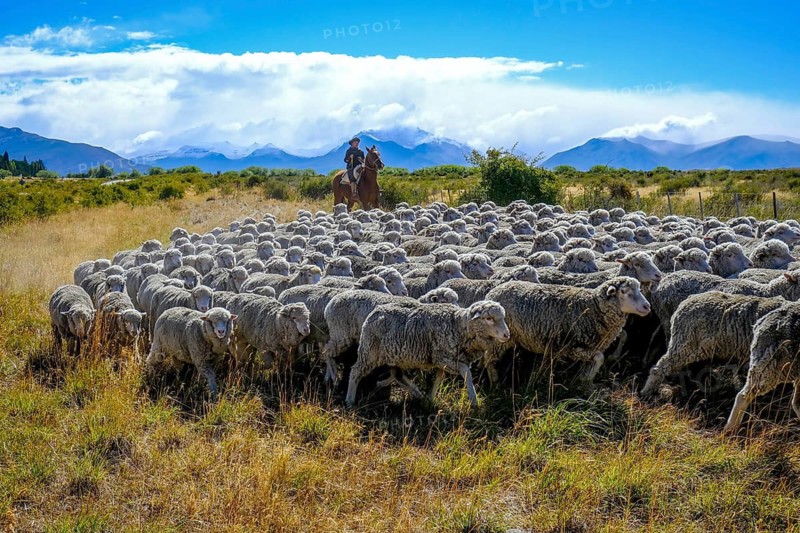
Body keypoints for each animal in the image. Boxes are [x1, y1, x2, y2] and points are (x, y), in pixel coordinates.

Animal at [345, 301, 510, 407]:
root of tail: (375, 311)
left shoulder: (441, 360)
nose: (507, 335)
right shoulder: (444, 357)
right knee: (355, 371)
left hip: (394, 355)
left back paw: (417, 393)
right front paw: (474, 399)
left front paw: (430, 399)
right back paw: (350, 400)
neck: (458, 326)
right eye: (488, 318)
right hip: (369, 352)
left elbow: (439, 377)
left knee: (398, 375)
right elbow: (466, 372)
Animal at [486, 278, 651, 386]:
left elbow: (596, 360)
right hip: (497, 339)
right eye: (624, 291)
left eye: (640, 290)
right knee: (489, 358)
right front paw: (586, 379)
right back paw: (494, 380)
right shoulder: (571, 347)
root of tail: (493, 292)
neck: (591, 307)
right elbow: (600, 357)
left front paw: (584, 377)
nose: (647, 306)